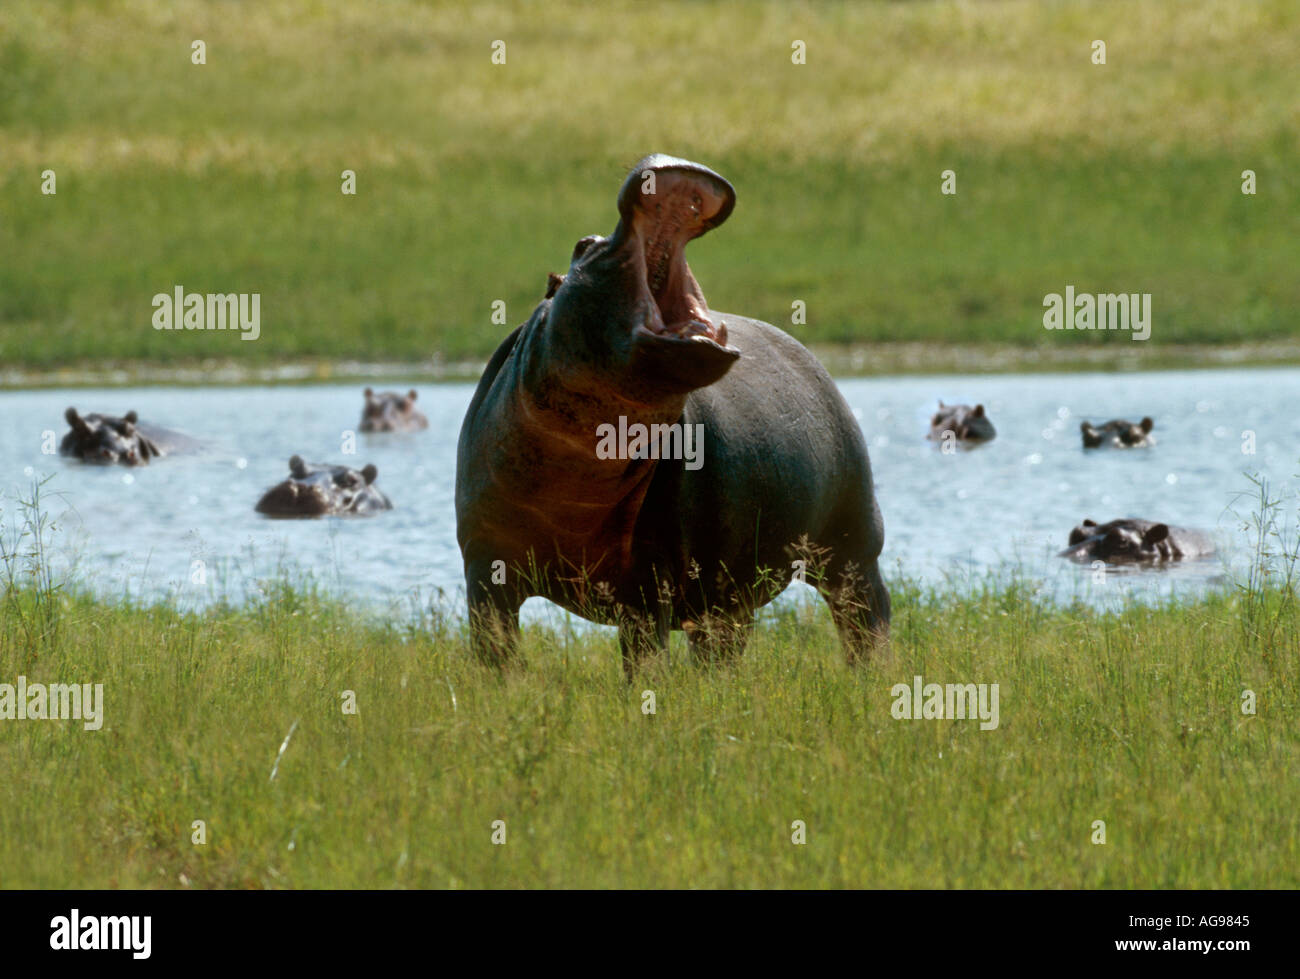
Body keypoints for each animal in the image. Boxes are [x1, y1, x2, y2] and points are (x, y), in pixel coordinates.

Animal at [455, 154, 889, 675]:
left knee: (864, 617)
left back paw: (872, 674)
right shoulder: (484, 568)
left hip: (853, 544)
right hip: (729, 591)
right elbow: (495, 650)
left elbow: (644, 656)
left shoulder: (648, 573)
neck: (579, 463)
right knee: (722, 645)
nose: (663, 159)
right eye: (582, 245)